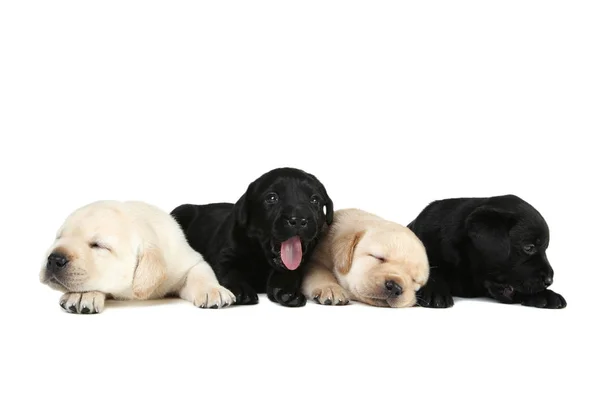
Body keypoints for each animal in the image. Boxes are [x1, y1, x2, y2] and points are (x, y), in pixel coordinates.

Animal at [38, 200, 236, 312]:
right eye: (59, 237)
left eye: (98, 245)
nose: (54, 259)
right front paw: (80, 295)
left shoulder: (185, 259)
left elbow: (200, 271)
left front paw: (213, 291)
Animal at [171, 167, 336, 308]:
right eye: (272, 198)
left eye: (314, 200)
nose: (299, 219)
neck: (261, 255)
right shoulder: (223, 257)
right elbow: (230, 272)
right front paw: (242, 290)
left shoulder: (296, 265)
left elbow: (288, 274)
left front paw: (288, 292)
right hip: (182, 210)